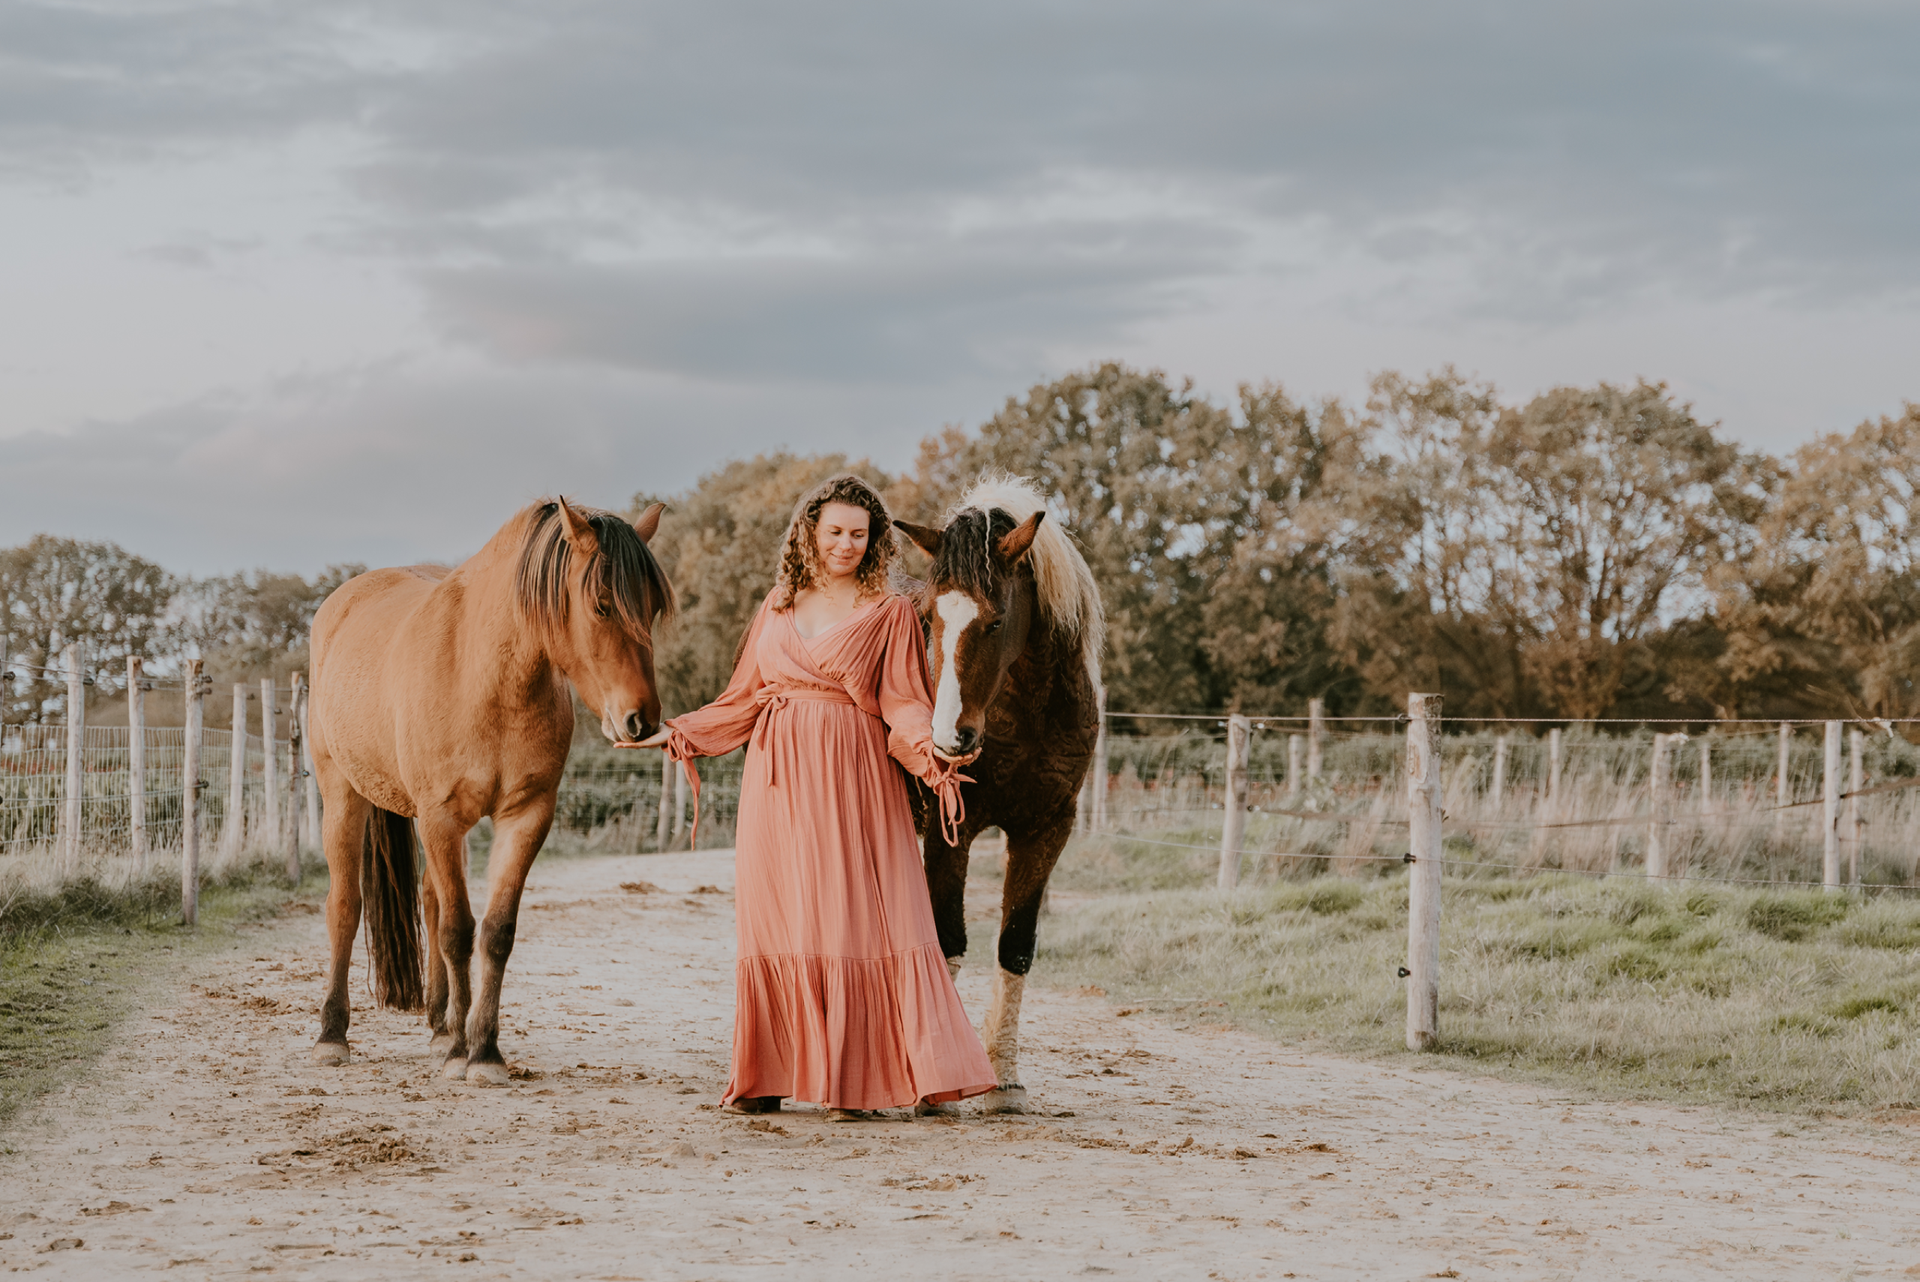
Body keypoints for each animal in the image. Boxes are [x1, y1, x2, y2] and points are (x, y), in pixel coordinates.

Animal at [306, 497, 672, 1085]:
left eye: (655, 607)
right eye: (601, 606)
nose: (641, 721)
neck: (487, 677)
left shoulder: (525, 815)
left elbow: (496, 931)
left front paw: (482, 1050)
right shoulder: (441, 817)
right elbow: (458, 930)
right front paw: (462, 1051)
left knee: (430, 901)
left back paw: (440, 1025)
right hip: (343, 795)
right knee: (345, 905)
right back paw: (332, 1035)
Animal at [894, 475, 1104, 1114]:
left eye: (995, 621)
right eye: (931, 617)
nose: (948, 737)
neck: (1027, 713)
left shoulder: (1046, 831)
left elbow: (1015, 946)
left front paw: (1004, 1081)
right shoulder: (951, 827)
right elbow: (948, 940)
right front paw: (940, 1084)